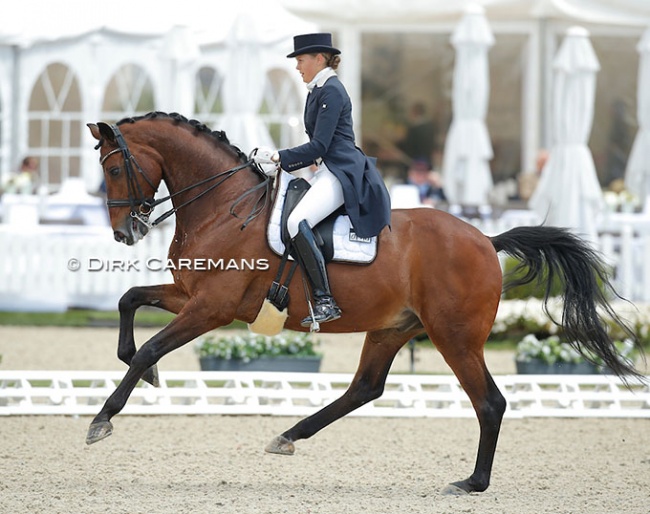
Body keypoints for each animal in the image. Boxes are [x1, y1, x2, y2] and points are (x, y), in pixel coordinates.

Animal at [85, 111, 636, 492]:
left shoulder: (211, 308)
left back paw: (473, 483)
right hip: (392, 328)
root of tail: (486, 239)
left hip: (454, 336)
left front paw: (102, 419)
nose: (124, 233)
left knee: (489, 402)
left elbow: (152, 346)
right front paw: (139, 371)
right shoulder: (189, 295)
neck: (224, 208)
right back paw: (289, 436)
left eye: (113, 169)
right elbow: (129, 301)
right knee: (365, 388)